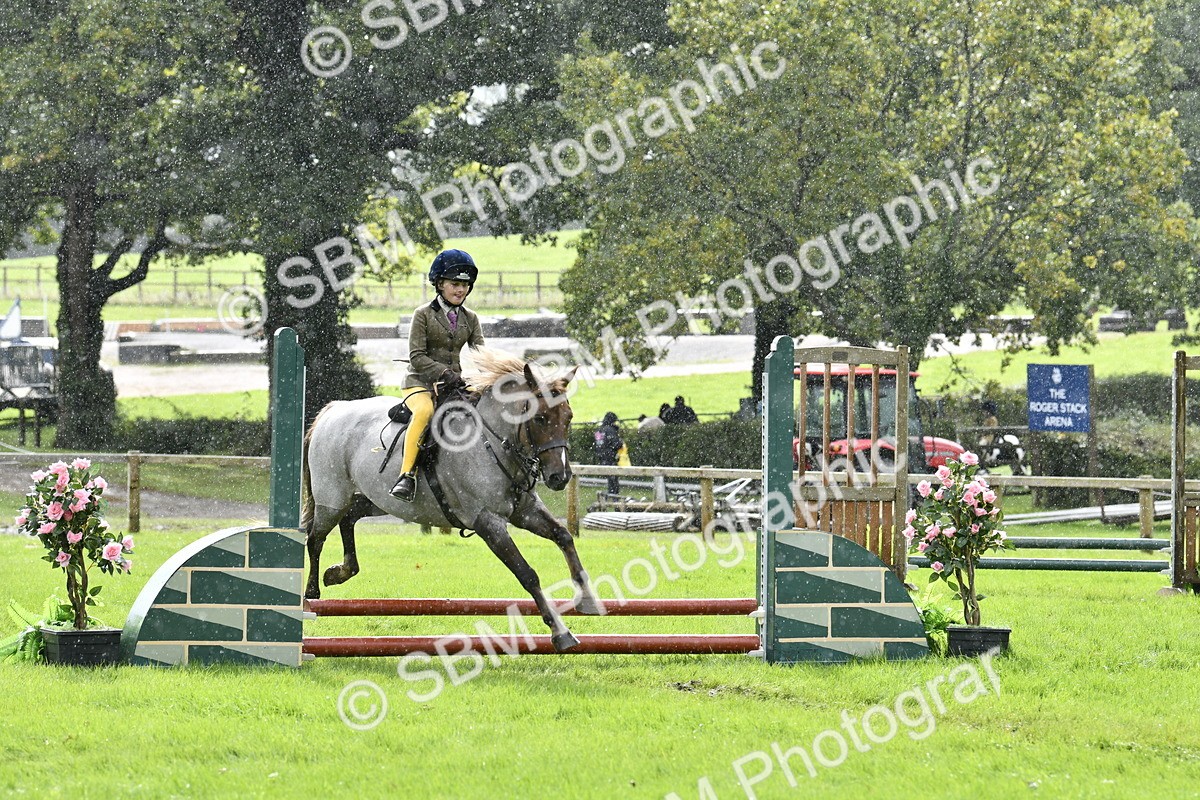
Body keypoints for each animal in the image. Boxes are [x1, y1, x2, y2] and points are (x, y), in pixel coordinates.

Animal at [301, 348, 605, 652]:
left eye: (568, 417)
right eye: (540, 418)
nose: (559, 477)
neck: (492, 442)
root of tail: (332, 410)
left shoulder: (525, 511)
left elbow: (563, 535)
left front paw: (589, 600)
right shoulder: (488, 522)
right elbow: (527, 574)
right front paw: (560, 632)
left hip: (373, 501)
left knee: (348, 519)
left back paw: (340, 572)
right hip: (332, 499)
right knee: (316, 538)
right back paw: (311, 594)